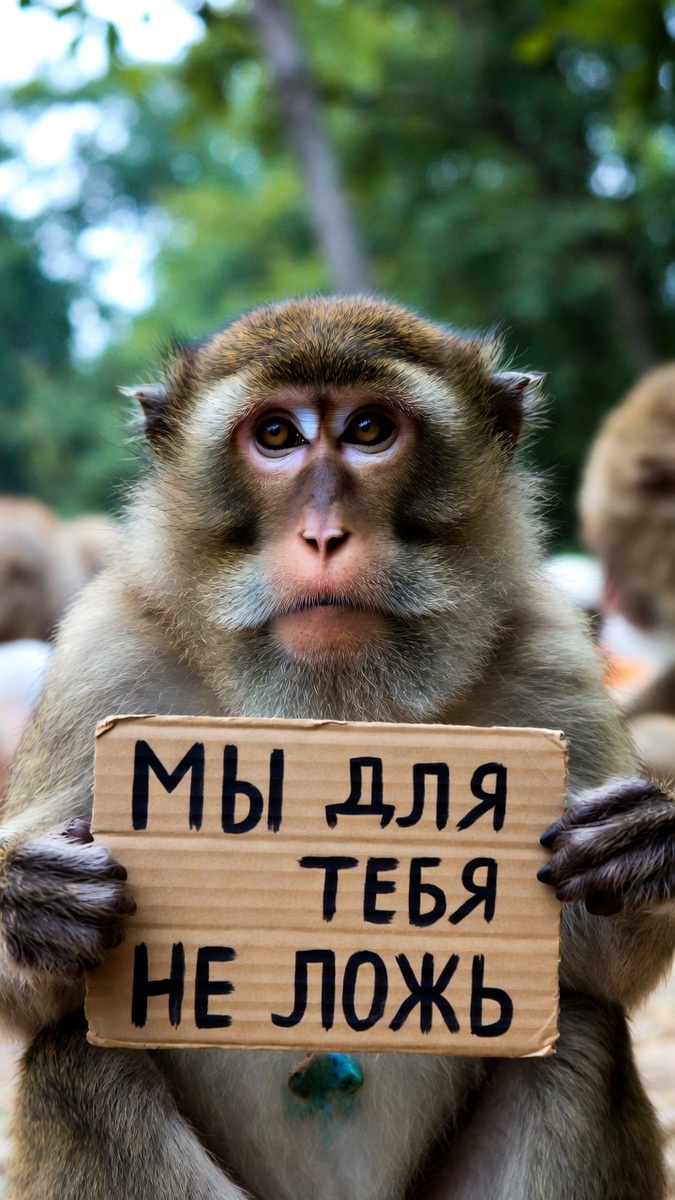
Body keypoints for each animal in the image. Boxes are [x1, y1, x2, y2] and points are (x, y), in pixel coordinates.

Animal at [1, 295, 675, 1200]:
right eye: (276, 435)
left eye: (368, 429)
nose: (324, 536)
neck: (337, 707)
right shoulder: (101, 660)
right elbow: (39, 1006)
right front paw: (29, 899)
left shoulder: (548, 651)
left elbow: (603, 976)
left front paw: (643, 845)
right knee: (78, 1059)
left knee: (580, 1040)